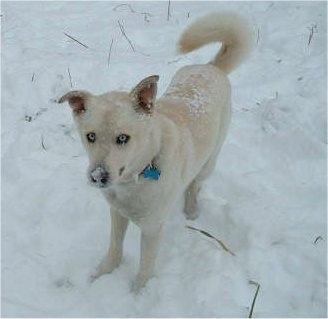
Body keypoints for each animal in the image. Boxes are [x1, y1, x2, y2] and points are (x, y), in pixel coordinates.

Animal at [58, 12, 254, 292]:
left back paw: (191, 210)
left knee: (195, 184)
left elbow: (145, 267)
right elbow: (114, 248)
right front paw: (100, 274)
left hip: (209, 161)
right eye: (90, 136)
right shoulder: (117, 214)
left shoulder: (151, 229)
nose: (97, 177)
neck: (138, 175)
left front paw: (137, 294)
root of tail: (212, 67)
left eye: (123, 138)